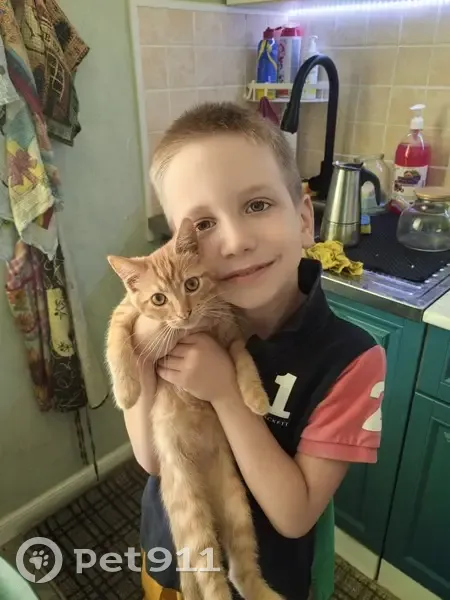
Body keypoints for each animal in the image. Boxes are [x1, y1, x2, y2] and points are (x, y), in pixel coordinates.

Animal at [105, 217, 285, 600]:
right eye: (159, 299)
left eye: (192, 284)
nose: (184, 313)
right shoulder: (126, 312)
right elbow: (116, 341)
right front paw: (127, 391)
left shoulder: (230, 332)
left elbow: (242, 360)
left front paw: (255, 397)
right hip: (190, 512)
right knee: (210, 575)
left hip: (237, 503)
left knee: (238, 571)